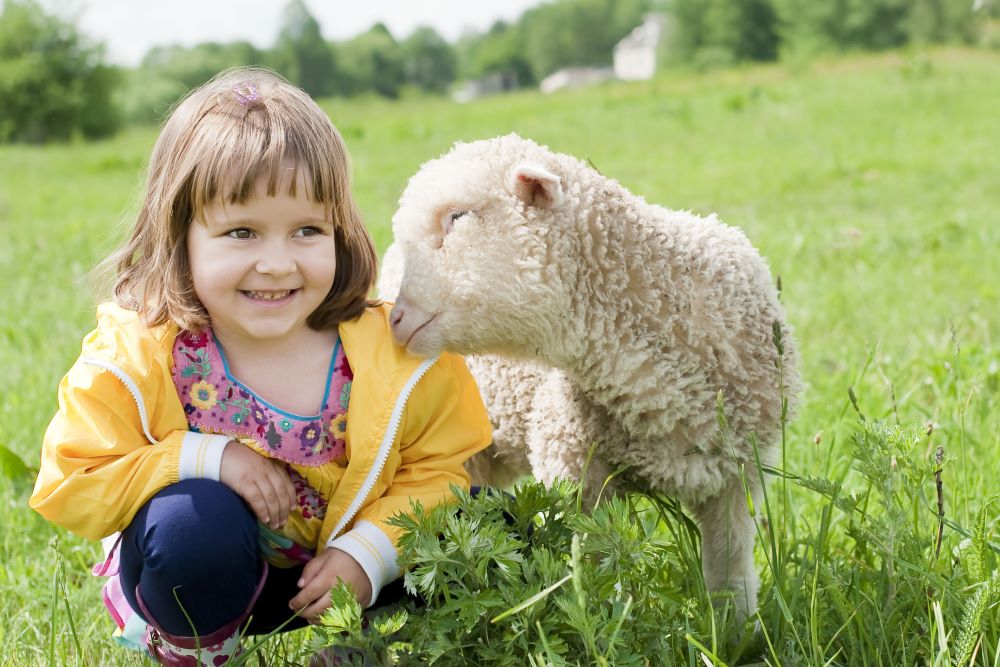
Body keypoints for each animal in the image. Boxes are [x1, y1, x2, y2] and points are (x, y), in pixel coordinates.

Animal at [378, 133, 800, 620]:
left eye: (458, 217)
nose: (396, 321)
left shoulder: (738, 474)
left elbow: (730, 575)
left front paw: (737, 632)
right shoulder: (573, 467)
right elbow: (593, 568)